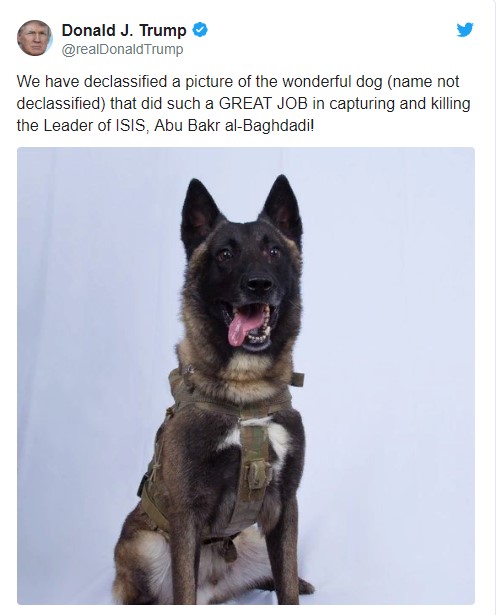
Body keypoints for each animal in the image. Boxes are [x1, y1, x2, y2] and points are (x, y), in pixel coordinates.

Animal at [112, 175, 313, 604]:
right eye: (224, 255)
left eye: (273, 250)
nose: (259, 284)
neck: (246, 394)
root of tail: (215, 588)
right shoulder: (187, 514)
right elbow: (183, 589)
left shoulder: (286, 505)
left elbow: (287, 581)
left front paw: (293, 587)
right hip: (142, 546)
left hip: (254, 540)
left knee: (274, 573)